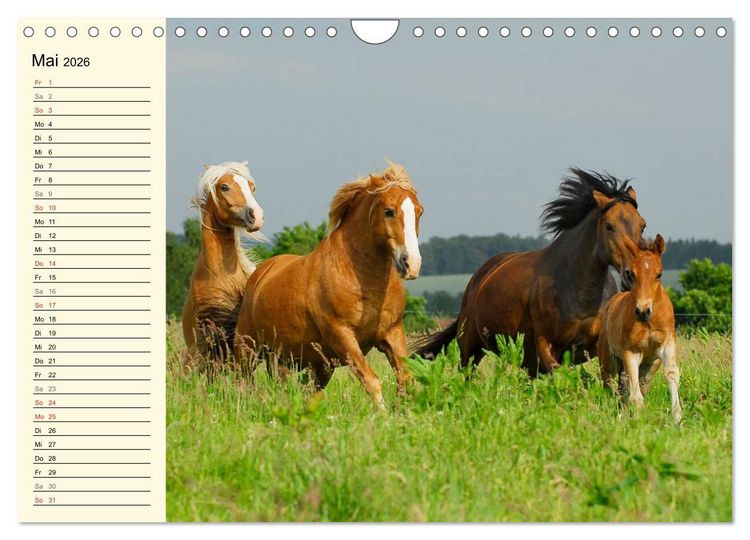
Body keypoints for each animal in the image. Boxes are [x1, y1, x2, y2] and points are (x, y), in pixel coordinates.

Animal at [233, 161, 423, 410]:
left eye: (419, 211)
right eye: (389, 211)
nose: (411, 264)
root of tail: (259, 274)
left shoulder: (393, 333)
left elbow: (405, 377)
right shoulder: (342, 335)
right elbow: (371, 380)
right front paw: (382, 415)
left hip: (303, 362)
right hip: (247, 348)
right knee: (242, 381)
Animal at [413, 168, 646, 376]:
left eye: (642, 225)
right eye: (609, 226)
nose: (632, 275)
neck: (578, 290)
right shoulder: (545, 343)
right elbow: (562, 373)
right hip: (470, 346)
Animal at [598, 234, 682, 423]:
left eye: (659, 274)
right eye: (632, 274)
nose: (643, 311)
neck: (649, 321)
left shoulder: (667, 343)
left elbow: (671, 373)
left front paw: (677, 418)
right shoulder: (631, 351)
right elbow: (635, 395)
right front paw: (638, 420)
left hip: (650, 366)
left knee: (634, 386)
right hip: (608, 360)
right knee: (611, 385)